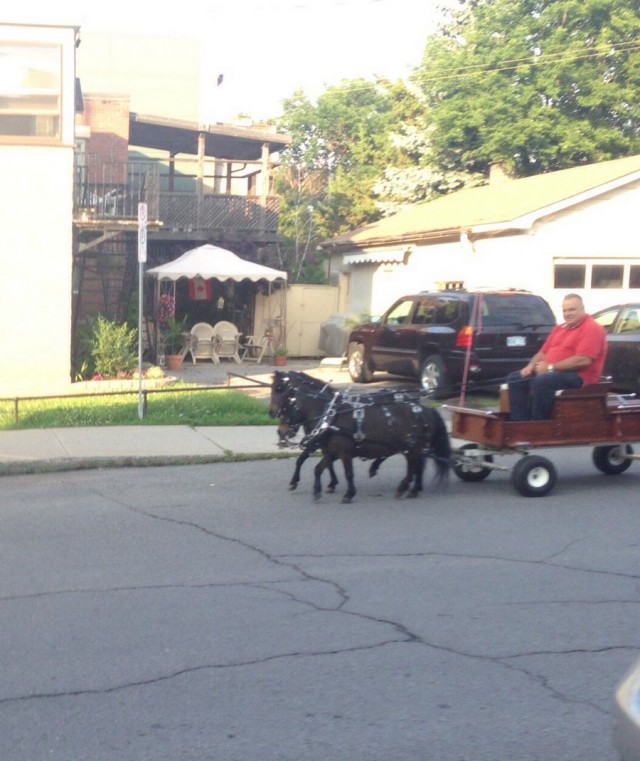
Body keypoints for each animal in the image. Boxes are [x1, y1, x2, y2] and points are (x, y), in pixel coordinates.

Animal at [270, 372, 450, 502]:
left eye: (280, 389)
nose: (281, 431)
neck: (329, 414)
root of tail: (427, 409)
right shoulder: (328, 450)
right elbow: (318, 467)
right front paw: (321, 488)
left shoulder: (343, 452)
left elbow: (347, 473)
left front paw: (348, 493)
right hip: (410, 448)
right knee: (416, 465)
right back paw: (410, 487)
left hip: (413, 447)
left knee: (415, 466)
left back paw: (405, 487)